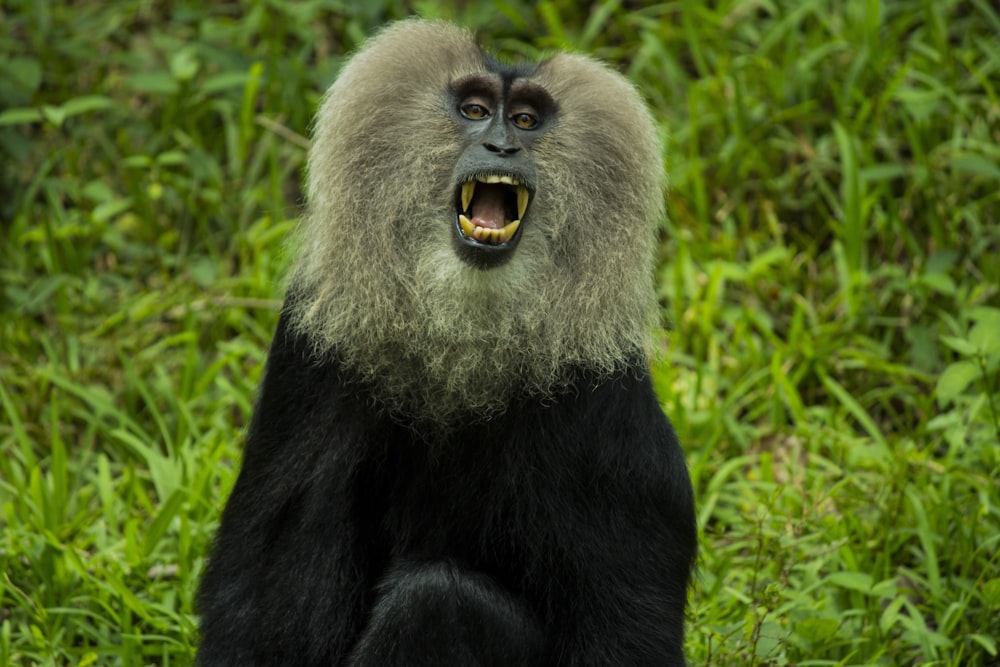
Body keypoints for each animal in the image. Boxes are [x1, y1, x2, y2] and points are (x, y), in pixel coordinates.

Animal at [195, 18, 696, 664]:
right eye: (476, 110)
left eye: (527, 120)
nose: (503, 147)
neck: (464, 335)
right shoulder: (310, 355)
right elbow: (256, 588)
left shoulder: (603, 400)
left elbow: (628, 630)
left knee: (440, 600)